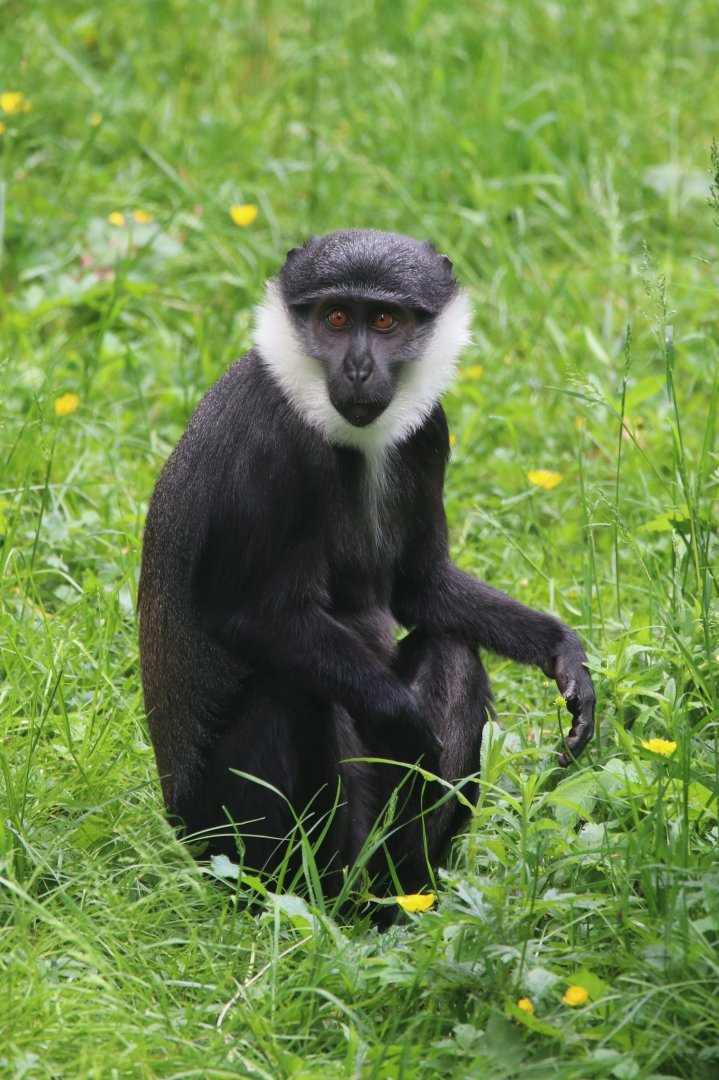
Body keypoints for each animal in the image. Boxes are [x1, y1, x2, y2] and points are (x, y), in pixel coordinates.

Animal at [138, 229, 595, 896]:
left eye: (383, 320)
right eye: (335, 317)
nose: (356, 368)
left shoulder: (429, 430)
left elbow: (418, 588)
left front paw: (562, 651)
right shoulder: (270, 443)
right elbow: (250, 616)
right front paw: (406, 725)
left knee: (452, 650)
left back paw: (400, 894)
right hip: (223, 832)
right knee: (288, 687)